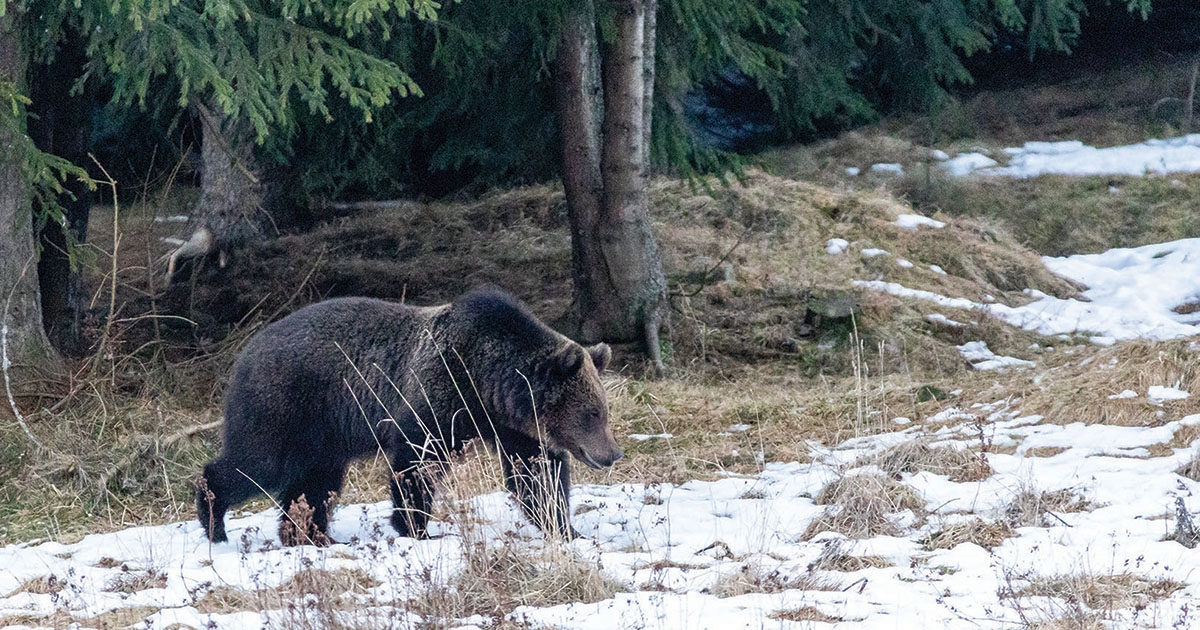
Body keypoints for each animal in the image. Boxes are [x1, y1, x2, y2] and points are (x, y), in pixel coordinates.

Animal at [195, 286, 619, 542]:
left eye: (603, 411)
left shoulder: (514, 427)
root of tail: (246, 350)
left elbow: (535, 475)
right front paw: (416, 528)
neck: (487, 384)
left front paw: (564, 528)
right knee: (257, 464)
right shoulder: (437, 397)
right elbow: (416, 463)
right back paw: (215, 521)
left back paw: (310, 535)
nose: (613, 454)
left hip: (324, 433)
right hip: (285, 406)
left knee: (314, 482)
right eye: (592, 413)